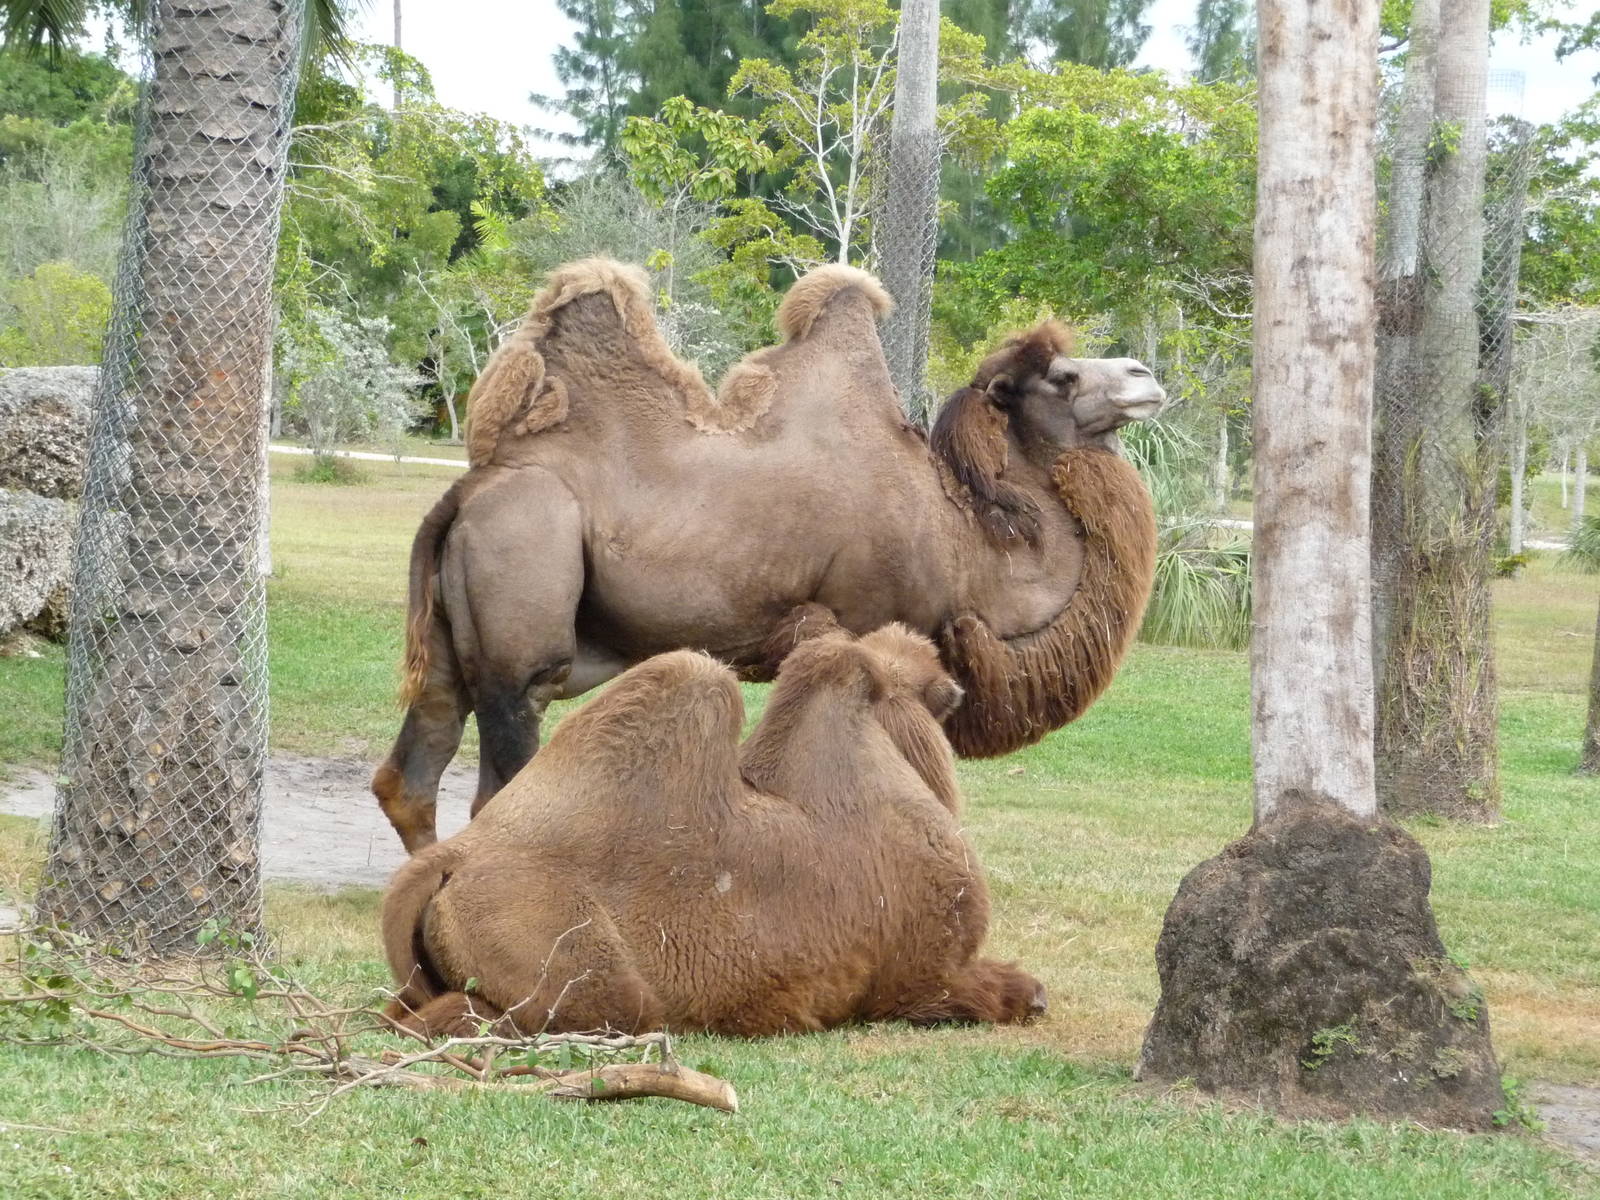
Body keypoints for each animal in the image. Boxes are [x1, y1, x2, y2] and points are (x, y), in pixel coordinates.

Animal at [373, 257, 1162, 852]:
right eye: (1062, 377)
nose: (1146, 376)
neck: (967, 544)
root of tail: (468, 491)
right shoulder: (872, 632)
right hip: (524, 595)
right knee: (501, 767)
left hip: (452, 633)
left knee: (413, 768)